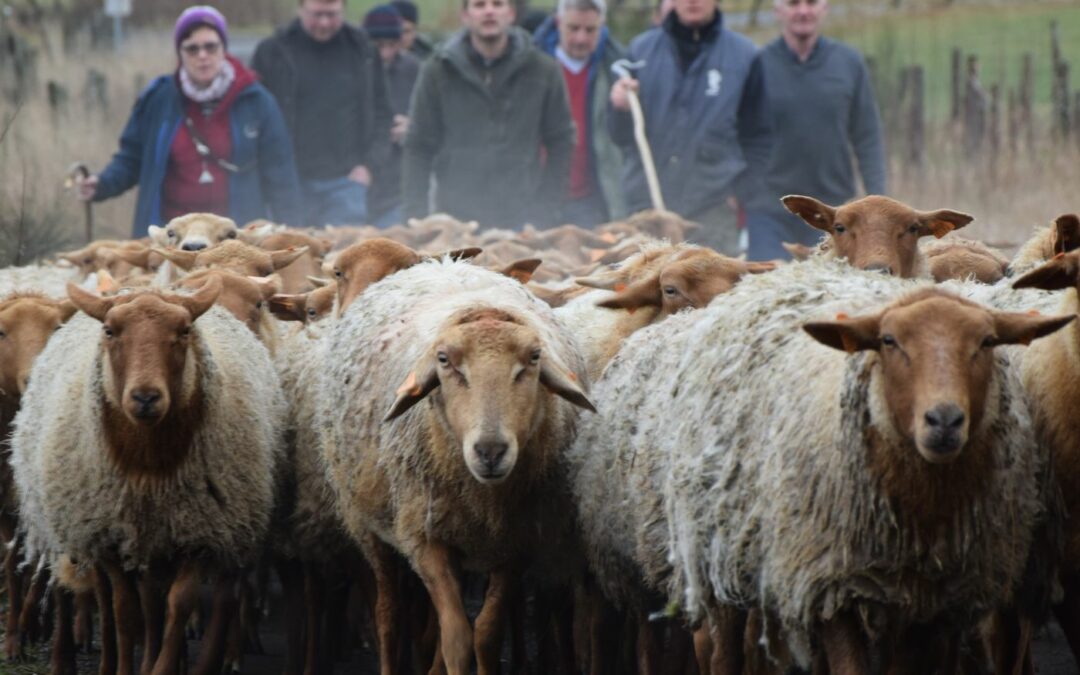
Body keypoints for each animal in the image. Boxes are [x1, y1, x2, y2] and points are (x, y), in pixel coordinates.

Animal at [315, 259, 596, 673]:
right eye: (445, 361)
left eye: (533, 359)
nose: (491, 451)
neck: (484, 495)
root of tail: (444, 261)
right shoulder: (425, 539)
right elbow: (457, 639)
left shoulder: (517, 543)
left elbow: (486, 634)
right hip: (367, 522)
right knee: (388, 615)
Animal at [570, 258, 1067, 673]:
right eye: (889, 341)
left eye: (987, 342)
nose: (944, 419)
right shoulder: (832, 586)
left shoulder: (937, 603)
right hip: (714, 557)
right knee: (717, 651)